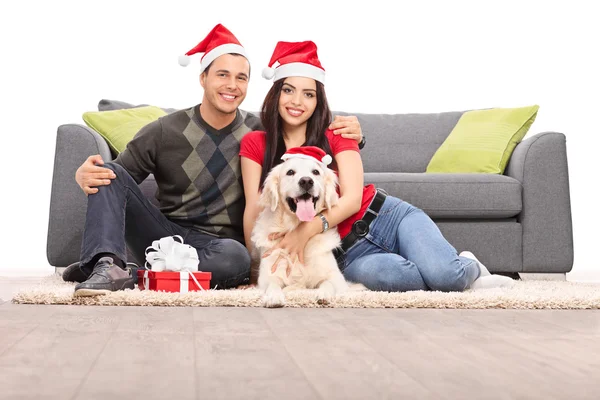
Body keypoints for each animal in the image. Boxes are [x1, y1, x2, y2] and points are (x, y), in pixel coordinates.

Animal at [250, 155, 354, 308]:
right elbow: (272, 284)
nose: (306, 181)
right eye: (290, 172)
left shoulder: (337, 277)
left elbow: (328, 283)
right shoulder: (267, 276)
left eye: (316, 172)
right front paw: (274, 297)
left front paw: (324, 294)